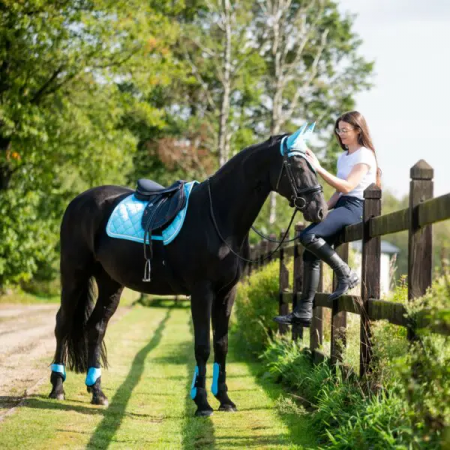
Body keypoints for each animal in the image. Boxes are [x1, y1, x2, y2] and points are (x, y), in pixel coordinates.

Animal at [50, 132, 326, 416]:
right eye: (297, 166)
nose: (320, 210)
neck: (219, 217)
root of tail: (78, 202)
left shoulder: (227, 292)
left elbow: (222, 345)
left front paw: (224, 400)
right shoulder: (201, 292)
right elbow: (203, 346)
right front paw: (202, 403)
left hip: (110, 284)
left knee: (96, 328)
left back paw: (97, 392)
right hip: (74, 277)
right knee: (63, 323)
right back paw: (57, 388)